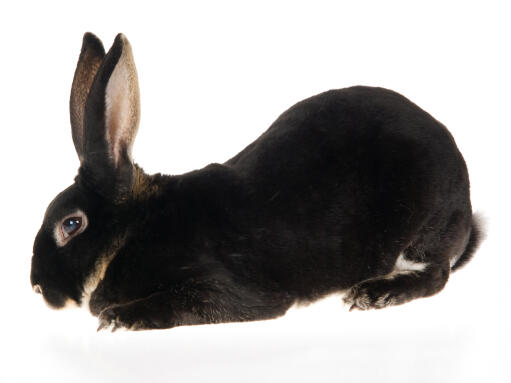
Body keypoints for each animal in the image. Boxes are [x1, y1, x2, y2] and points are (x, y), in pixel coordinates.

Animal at [30, 33, 482, 332]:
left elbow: (181, 305)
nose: (37, 288)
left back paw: (374, 294)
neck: (136, 230)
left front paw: (119, 318)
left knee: (437, 274)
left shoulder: (225, 290)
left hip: (426, 226)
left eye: (72, 225)